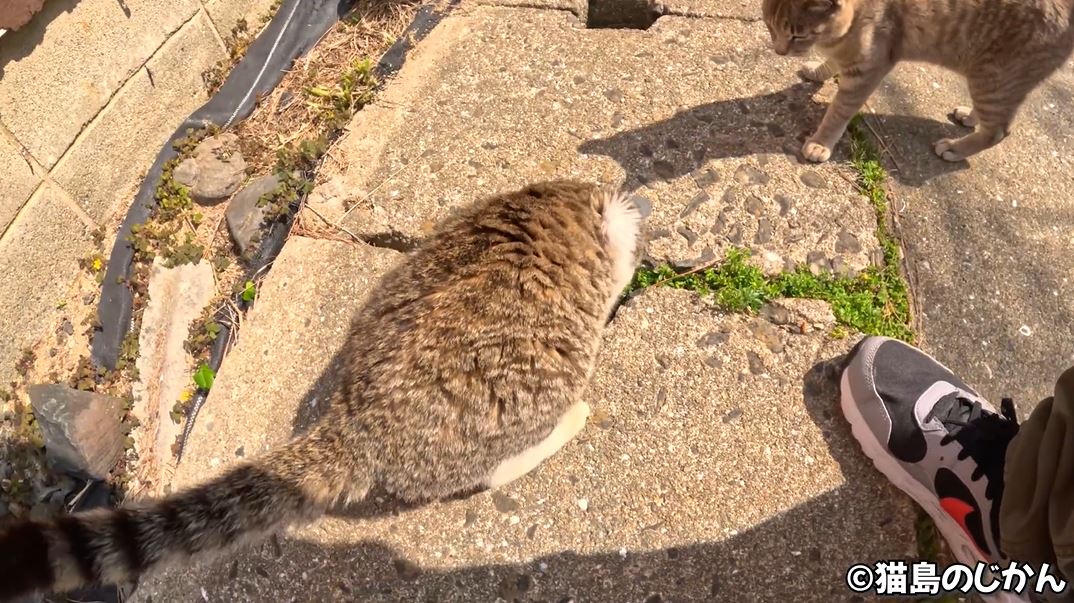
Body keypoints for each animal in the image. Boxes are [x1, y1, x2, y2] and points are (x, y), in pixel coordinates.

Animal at [762, 0, 1074, 163]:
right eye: (769, 25)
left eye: (798, 35)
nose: (779, 50)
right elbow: (831, 63)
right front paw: (817, 70)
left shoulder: (868, 69)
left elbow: (837, 113)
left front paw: (820, 142)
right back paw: (969, 116)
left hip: (995, 79)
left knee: (998, 131)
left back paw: (955, 148)